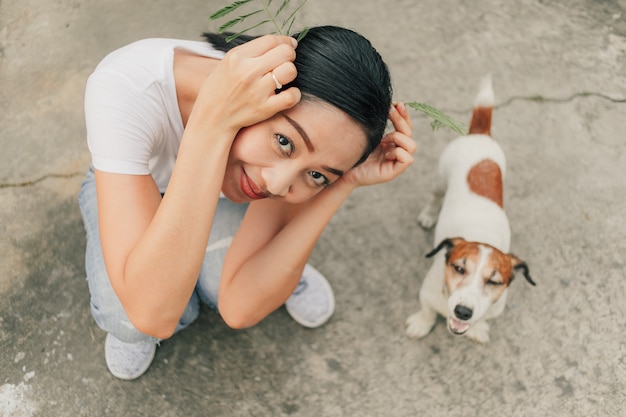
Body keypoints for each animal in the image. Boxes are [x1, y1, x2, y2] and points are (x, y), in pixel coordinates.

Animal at [402, 76, 532, 342]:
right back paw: (428, 215)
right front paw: (421, 324)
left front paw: (478, 329)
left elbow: (483, 320)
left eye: (494, 282)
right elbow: (427, 311)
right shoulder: (426, 295)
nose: (463, 312)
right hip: (440, 180)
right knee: (435, 196)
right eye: (459, 268)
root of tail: (479, 134)